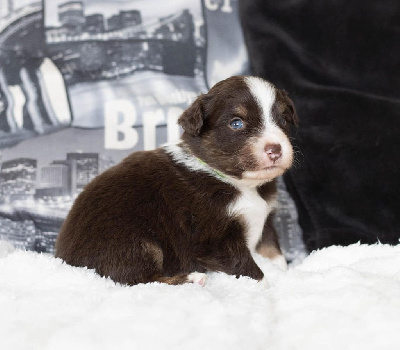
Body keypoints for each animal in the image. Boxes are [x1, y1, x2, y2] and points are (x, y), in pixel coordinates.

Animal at [54, 75, 296, 286]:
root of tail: (64, 258)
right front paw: (266, 287)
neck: (240, 184)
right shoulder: (214, 239)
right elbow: (248, 268)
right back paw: (192, 278)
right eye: (236, 123)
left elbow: (273, 250)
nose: (275, 149)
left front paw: (283, 271)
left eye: (283, 119)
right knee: (140, 279)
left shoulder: (266, 219)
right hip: (136, 243)